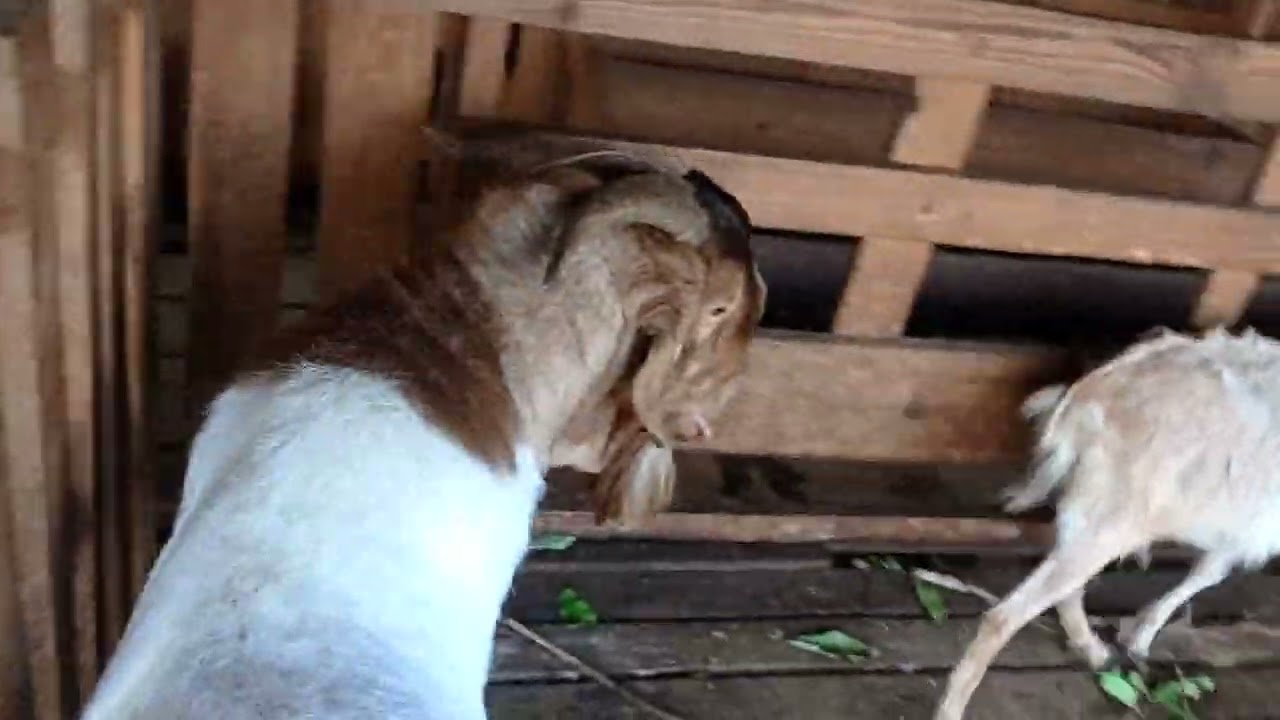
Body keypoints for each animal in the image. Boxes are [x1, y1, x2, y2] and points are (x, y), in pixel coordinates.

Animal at [935, 327, 1280, 719]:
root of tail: (1087, 398)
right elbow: (1208, 573)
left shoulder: (1240, 525)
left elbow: (1208, 572)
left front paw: (1141, 636)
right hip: (1113, 521)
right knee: (1005, 616)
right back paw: (950, 709)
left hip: (1095, 517)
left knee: (1068, 589)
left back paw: (1094, 650)